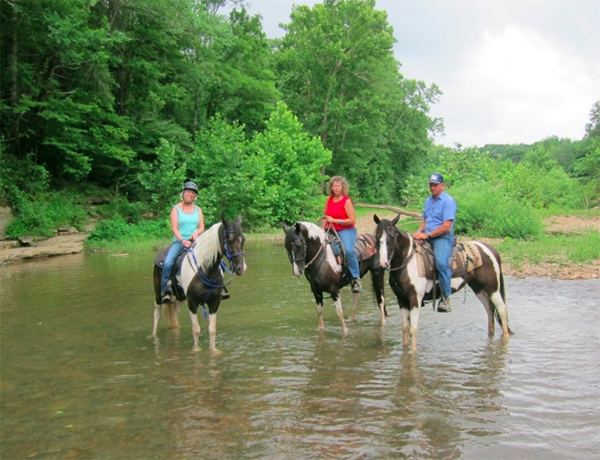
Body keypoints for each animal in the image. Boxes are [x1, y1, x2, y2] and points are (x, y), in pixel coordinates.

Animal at [152, 216, 246, 352]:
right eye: (229, 240)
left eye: (243, 239)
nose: (240, 268)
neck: (206, 270)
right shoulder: (192, 303)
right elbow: (196, 330)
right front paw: (196, 350)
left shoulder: (214, 303)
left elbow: (212, 329)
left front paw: (213, 351)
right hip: (159, 295)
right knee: (156, 314)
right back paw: (153, 336)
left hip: (180, 298)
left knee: (173, 313)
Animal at [376, 214, 510, 350]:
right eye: (377, 237)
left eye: (392, 237)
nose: (383, 263)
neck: (408, 262)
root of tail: (491, 250)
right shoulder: (402, 300)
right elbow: (404, 328)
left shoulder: (415, 299)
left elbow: (413, 329)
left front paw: (413, 352)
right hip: (478, 288)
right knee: (490, 309)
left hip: (492, 288)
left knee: (502, 310)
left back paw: (505, 338)